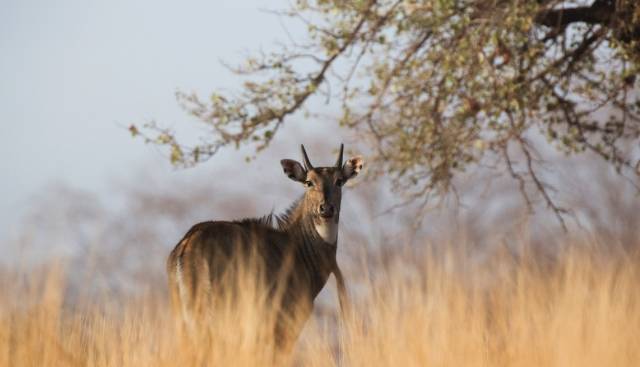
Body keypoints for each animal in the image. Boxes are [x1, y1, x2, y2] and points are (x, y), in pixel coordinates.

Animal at [168, 144, 362, 348]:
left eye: (339, 181)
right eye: (309, 182)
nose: (326, 209)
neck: (300, 248)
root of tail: (187, 245)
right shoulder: (284, 321)